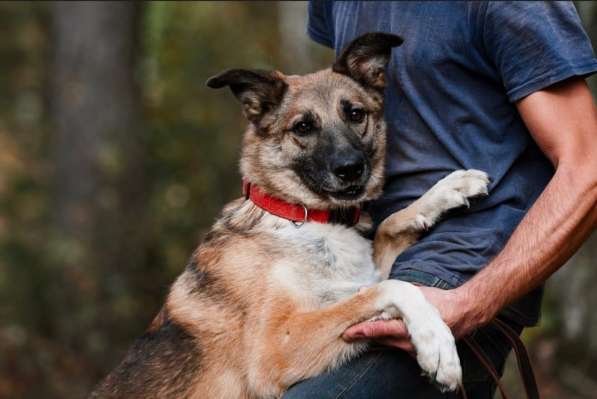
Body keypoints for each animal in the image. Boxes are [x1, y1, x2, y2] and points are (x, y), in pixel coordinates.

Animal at [89, 33, 488, 399]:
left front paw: (448, 189)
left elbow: (389, 229)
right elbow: (391, 288)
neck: (306, 217)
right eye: (303, 127)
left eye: (355, 114)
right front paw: (437, 344)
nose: (350, 169)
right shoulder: (277, 347)